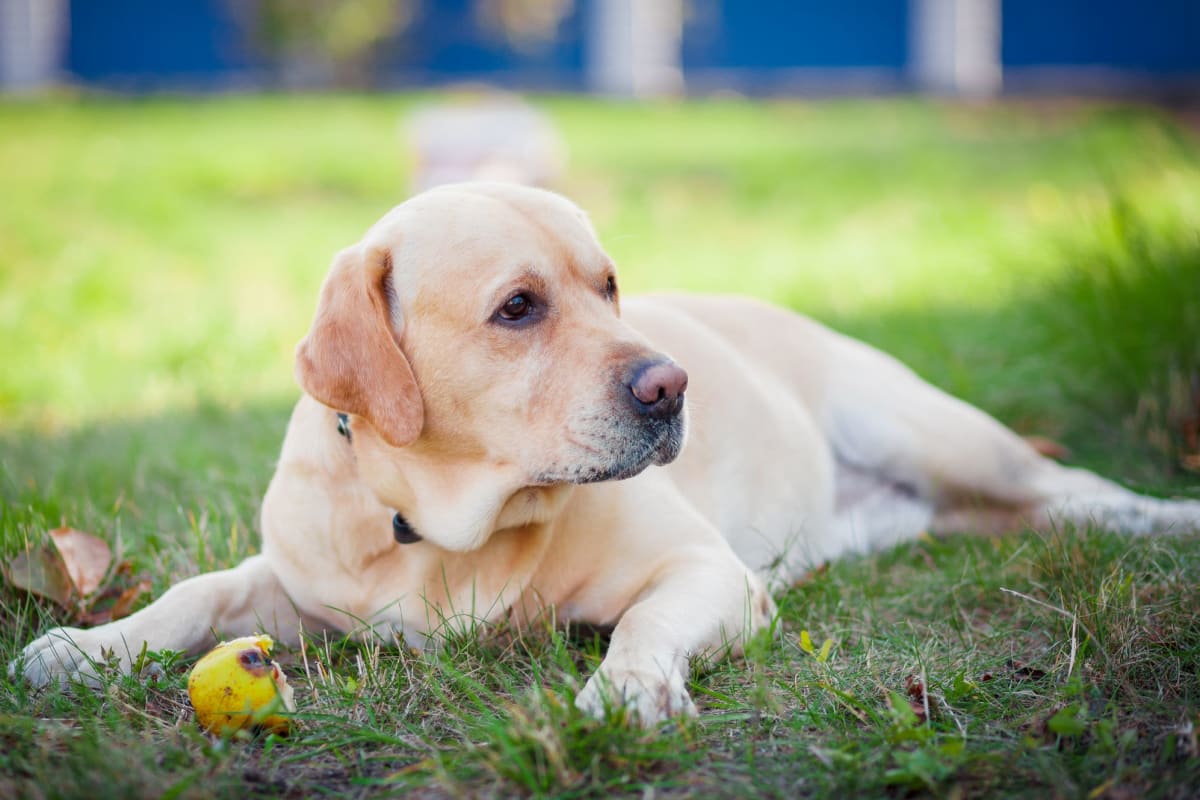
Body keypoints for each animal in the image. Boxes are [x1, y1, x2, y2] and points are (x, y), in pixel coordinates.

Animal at [11, 181, 1200, 724]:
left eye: (611, 285)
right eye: (518, 307)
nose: (674, 385)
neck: (442, 526)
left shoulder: (707, 572)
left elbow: (642, 623)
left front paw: (626, 692)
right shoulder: (293, 580)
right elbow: (196, 595)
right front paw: (84, 647)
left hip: (942, 433)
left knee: (1081, 494)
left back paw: (1169, 518)